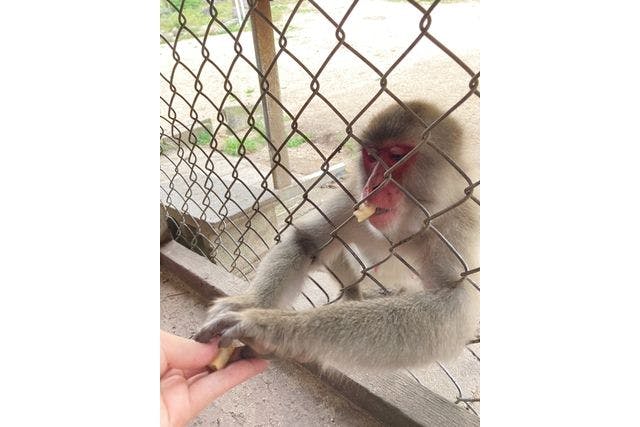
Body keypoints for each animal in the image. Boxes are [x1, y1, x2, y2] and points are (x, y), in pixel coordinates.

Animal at [192, 100, 478, 372]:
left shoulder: (457, 228)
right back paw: (352, 293)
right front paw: (249, 303)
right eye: (371, 157)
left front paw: (268, 328)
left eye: (396, 157)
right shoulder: (353, 198)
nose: (372, 186)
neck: (403, 227)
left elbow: (453, 307)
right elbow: (307, 241)